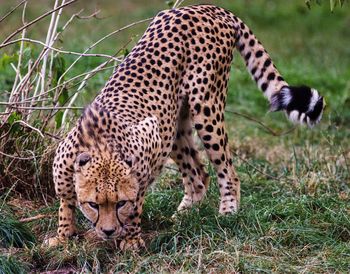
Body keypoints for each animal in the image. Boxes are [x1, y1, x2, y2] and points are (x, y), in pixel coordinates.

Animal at [47, 4, 326, 250]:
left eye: (119, 203)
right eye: (94, 204)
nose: (107, 231)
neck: (100, 146)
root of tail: (208, 7)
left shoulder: (147, 147)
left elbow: (137, 204)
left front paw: (131, 239)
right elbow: (65, 202)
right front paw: (63, 236)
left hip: (206, 106)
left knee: (227, 171)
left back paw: (227, 211)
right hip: (175, 124)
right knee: (198, 173)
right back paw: (185, 213)